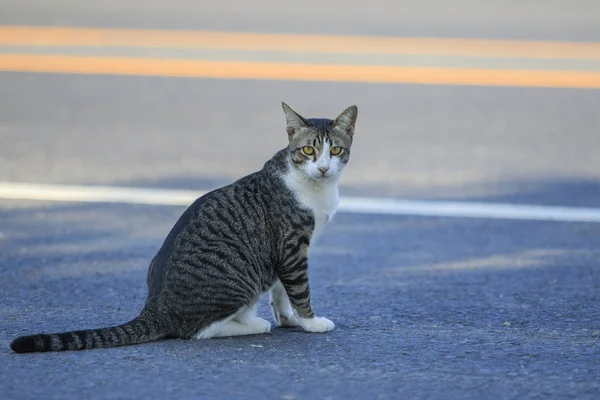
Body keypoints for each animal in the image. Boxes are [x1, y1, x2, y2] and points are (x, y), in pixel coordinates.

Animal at [10, 101, 356, 352]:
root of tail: (155, 306)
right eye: (309, 150)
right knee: (197, 331)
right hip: (237, 282)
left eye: (335, 150)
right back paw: (253, 325)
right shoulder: (291, 245)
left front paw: (289, 319)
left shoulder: (288, 252)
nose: (323, 168)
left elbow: (281, 291)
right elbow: (298, 289)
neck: (315, 187)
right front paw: (311, 322)